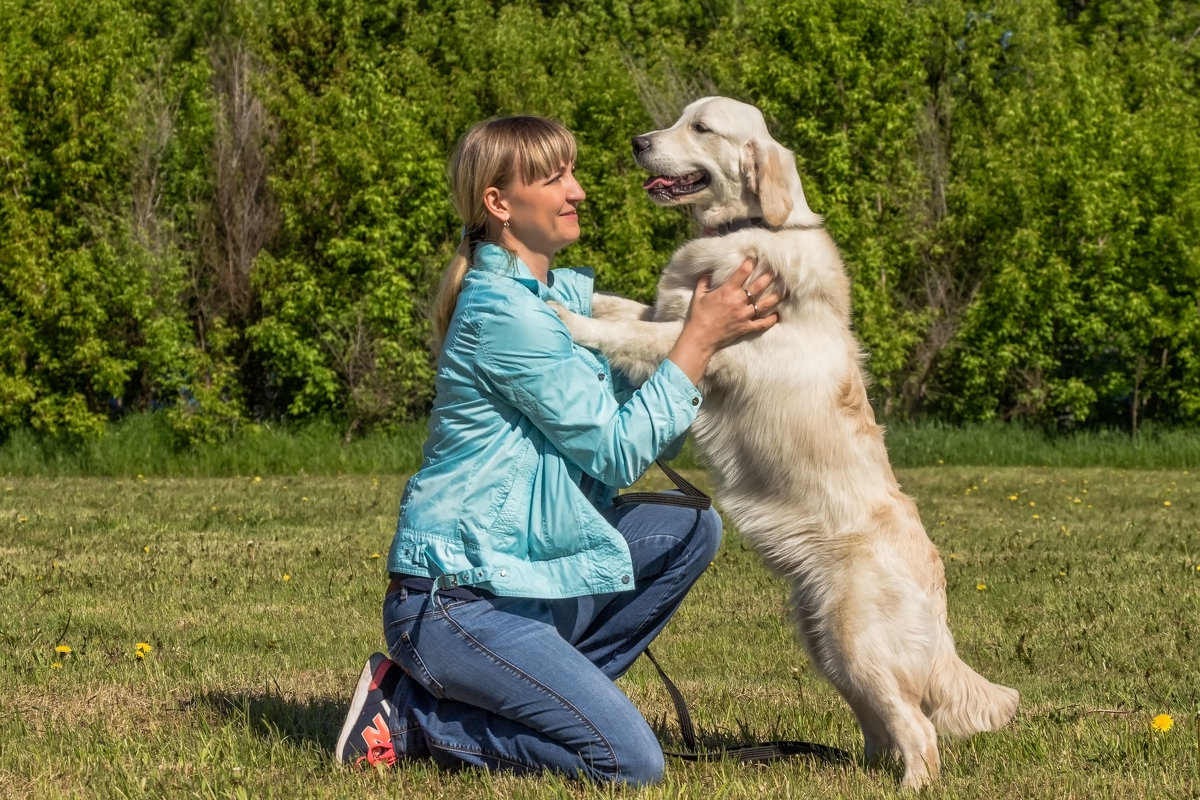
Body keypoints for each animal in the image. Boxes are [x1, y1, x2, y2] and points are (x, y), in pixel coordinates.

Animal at [556, 95, 1017, 786]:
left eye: (701, 127)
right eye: (680, 117)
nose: (637, 142)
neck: (748, 230)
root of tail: (939, 606)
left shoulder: (697, 342)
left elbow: (623, 333)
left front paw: (562, 317)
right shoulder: (670, 313)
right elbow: (619, 305)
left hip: (855, 640)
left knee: (921, 730)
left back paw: (908, 783)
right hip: (824, 639)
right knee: (883, 723)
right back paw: (854, 770)